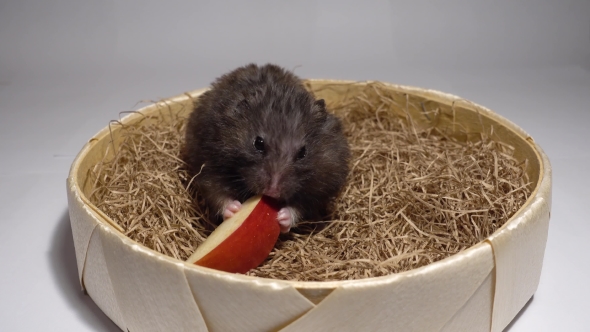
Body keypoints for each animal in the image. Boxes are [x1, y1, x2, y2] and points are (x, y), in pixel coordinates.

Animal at [185, 63, 352, 233]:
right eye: (258, 143)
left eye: (303, 152)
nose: (272, 191)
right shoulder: (207, 162)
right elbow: (216, 193)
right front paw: (235, 210)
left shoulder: (323, 184)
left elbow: (301, 207)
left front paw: (283, 218)